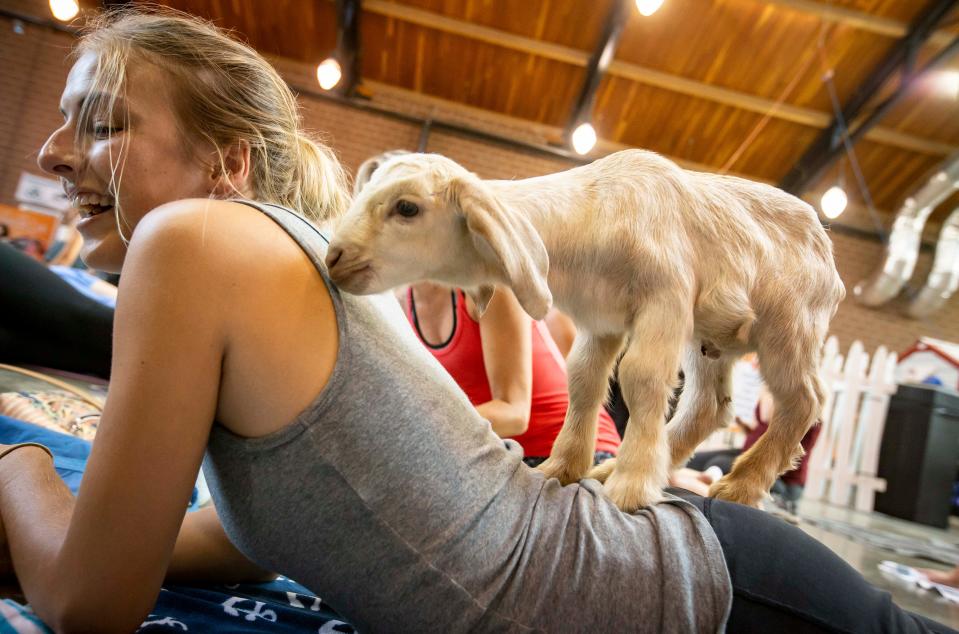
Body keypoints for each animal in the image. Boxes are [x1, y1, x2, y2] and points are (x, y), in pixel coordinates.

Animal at [326, 151, 844, 512]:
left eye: (407, 207)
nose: (335, 258)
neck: (596, 212)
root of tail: (828, 253)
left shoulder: (666, 299)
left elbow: (640, 377)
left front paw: (632, 489)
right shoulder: (601, 319)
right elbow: (584, 378)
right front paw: (562, 469)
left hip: (789, 326)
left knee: (804, 401)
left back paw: (739, 485)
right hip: (710, 339)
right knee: (709, 407)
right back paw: (620, 467)